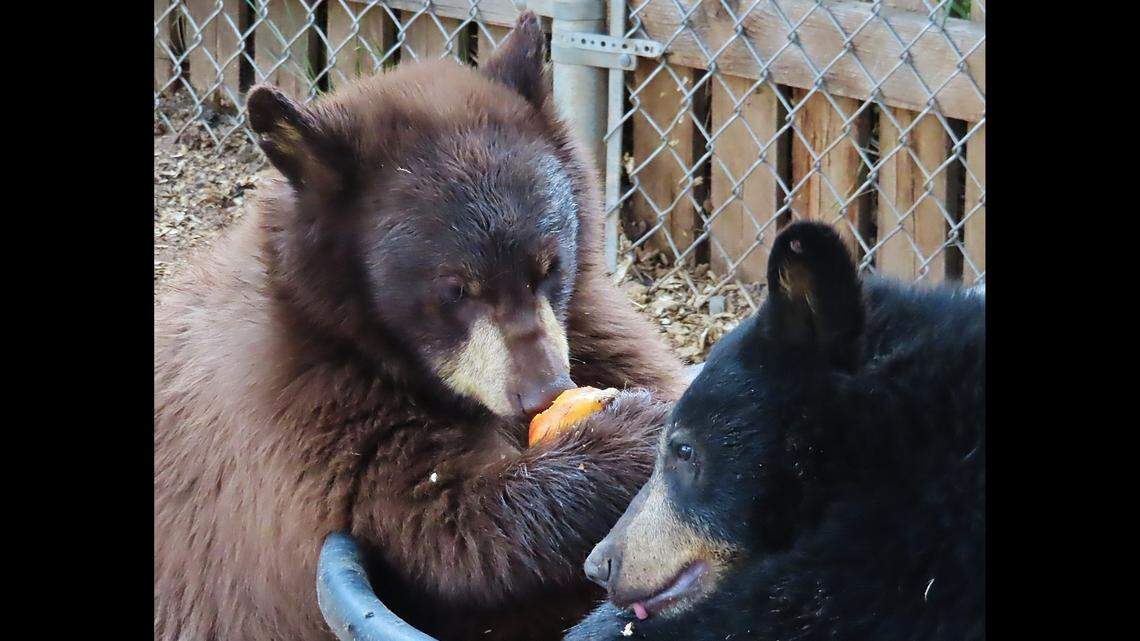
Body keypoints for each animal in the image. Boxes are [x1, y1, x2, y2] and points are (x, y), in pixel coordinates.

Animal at [154, 12, 685, 641]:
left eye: (549, 265)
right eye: (455, 290)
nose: (544, 392)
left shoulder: (584, 323)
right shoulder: (306, 409)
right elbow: (443, 525)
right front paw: (631, 435)